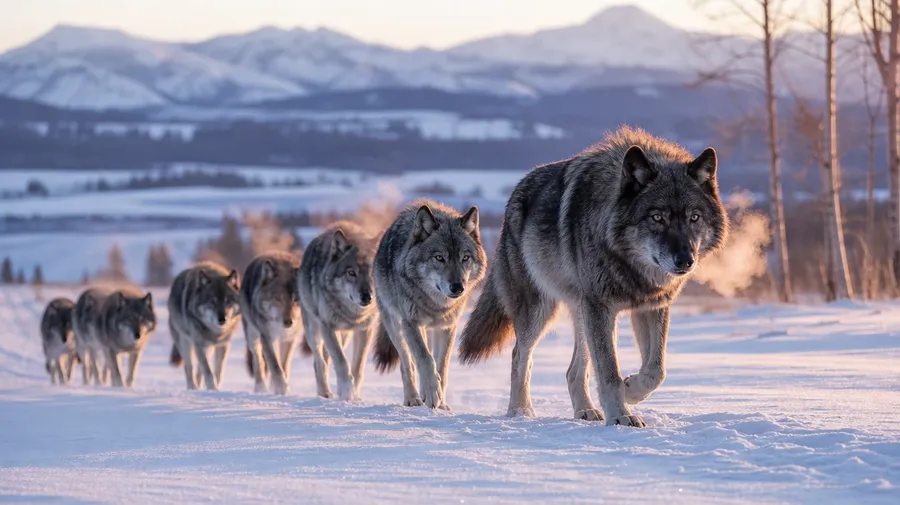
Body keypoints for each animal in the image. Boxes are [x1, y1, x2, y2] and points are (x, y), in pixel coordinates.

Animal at [168, 262, 241, 391]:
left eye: (228, 301)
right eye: (213, 301)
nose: (222, 319)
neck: (216, 333)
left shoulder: (223, 345)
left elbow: (217, 372)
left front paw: (215, 389)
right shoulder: (199, 344)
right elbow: (208, 372)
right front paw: (213, 389)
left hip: (208, 348)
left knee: (199, 371)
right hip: (185, 343)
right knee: (189, 367)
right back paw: (192, 388)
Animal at [240, 252, 303, 395]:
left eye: (295, 299)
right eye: (278, 298)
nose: (289, 321)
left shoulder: (290, 339)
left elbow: (283, 365)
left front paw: (280, 389)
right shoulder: (267, 337)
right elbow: (275, 366)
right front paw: (282, 389)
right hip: (252, 336)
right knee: (258, 362)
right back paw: (260, 389)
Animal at [298, 221, 377, 401]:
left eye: (371, 273)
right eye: (351, 273)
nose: (367, 297)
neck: (353, 314)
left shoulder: (365, 329)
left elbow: (358, 366)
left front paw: (355, 394)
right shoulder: (327, 326)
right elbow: (341, 362)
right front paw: (347, 393)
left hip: (344, 336)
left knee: (327, 359)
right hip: (314, 330)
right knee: (319, 362)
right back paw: (324, 393)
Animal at [372, 199, 486, 409]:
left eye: (465, 258)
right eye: (439, 258)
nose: (458, 287)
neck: (436, 305)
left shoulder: (448, 327)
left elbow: (441, 365)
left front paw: (440, 403)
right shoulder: (410, 323)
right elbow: (425, 359)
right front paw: (433, 395)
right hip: (395, 325)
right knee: (407, 363)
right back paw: (413, 398)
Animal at [457, 126, 728, 427]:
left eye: (694, 217)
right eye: (658, 217)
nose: (685, 260)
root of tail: (517, 191)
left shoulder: (651, 306)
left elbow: (656, 370)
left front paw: (631, 391)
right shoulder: (601, 307)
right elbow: (609, 372)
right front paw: (621, 414)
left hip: (582, 314)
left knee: (573, 370)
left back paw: (585, 410)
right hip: (541, 311)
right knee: (520, 355)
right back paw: (520, 411)